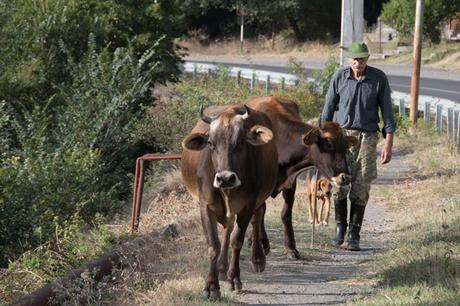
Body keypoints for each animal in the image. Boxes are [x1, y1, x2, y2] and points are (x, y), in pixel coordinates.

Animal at [181, 103, 278, 298]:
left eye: (241, 141)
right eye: (210, 143)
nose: (225, 178)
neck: (227, 192)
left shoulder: (247, 206)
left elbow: (237, 240)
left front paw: (234, 279)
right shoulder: (206, 206)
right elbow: (214, 245)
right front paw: (211, 286)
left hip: (257, 201)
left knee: (257, 218)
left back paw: (257, 258)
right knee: (228, 227)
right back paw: (221, 267)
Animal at [244, 95, 356, 258]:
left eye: (345, 146)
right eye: (329, 144)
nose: (345, 177)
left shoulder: (291, 182)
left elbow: (286, 214)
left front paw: (291, 248)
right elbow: (261, 210)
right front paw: (263, 243)